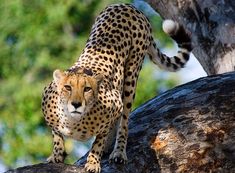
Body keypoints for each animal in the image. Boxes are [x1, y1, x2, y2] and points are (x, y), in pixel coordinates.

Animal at [41, 3, 191, 173]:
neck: (72, 119)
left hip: (131, 75)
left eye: (87, 89)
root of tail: (127, 5)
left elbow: (99, 140)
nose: (76, 104)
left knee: (124, 121)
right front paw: (57, 155)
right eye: (67, 87)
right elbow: (57, 135)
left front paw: (93, 162)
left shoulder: (115, 103)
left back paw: (118, 152)